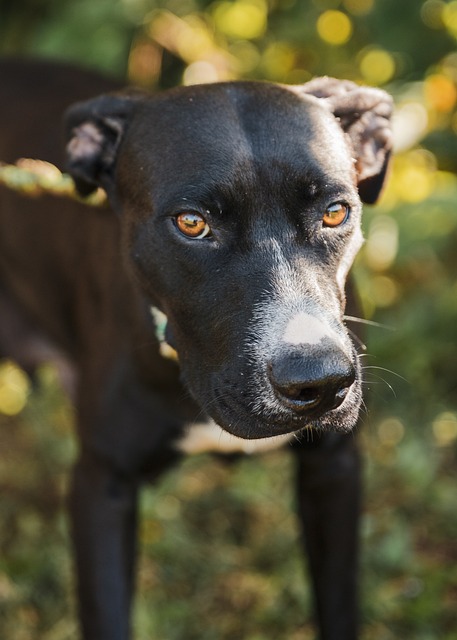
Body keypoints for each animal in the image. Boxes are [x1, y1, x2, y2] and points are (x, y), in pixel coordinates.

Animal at [0, 57, 392, 636]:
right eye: (192, 223)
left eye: (336, 212)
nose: (319, 383)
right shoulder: (104, 483)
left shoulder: (334, 466)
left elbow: (338, 602)